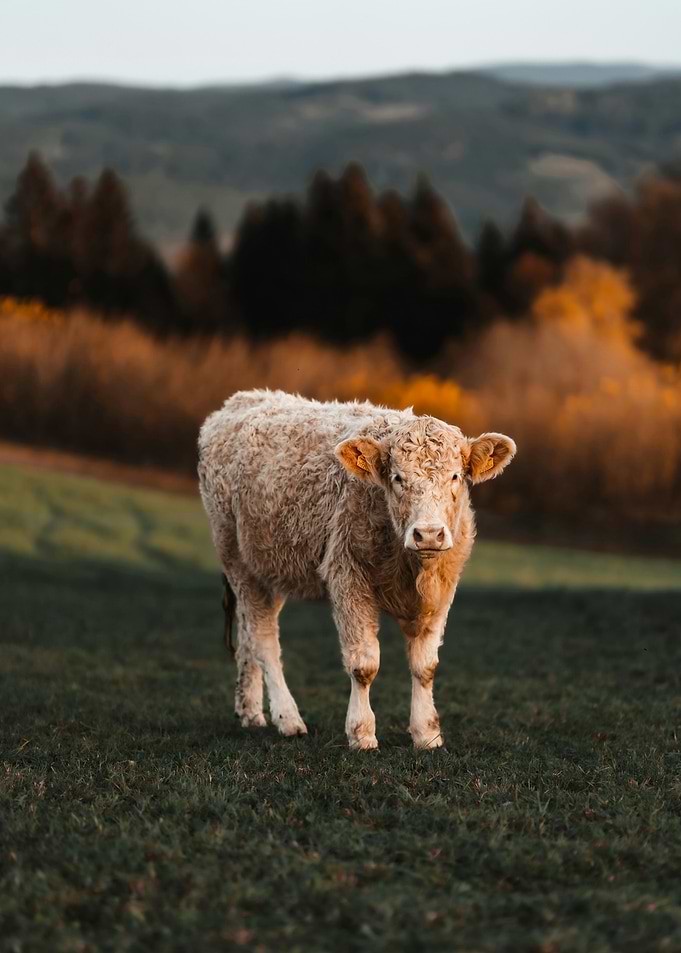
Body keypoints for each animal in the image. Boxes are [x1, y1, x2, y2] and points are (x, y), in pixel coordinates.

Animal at [198, 389, 515, 750]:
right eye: (397, 478)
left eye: (455, 477)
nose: (428, 533)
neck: (411, 569)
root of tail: (243, 399)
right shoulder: (348, 577)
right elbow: (364, 665)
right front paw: (361, 732)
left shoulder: (442, 591)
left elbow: (425, 666)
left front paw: (427, 733)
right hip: (235, 557)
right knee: (265, 641)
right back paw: (288, 718)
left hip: (268, 568)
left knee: (249, 634)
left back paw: (250, 711)